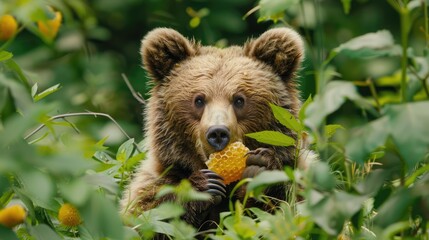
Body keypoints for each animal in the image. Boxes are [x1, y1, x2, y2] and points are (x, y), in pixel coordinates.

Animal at [121, 27, 304, 232]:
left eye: (239, 99)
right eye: (199, 100)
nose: (217, 133)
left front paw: (260, 168)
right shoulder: (157, 180)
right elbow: (147, 215)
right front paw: (204, 185)